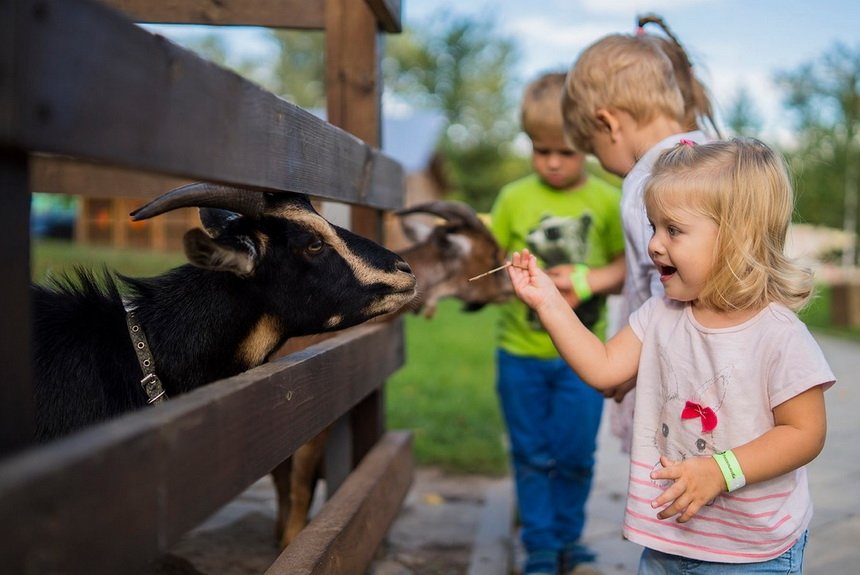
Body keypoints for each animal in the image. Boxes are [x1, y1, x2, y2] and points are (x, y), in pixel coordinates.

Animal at [270, 201, 510, 548]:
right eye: (492, 253)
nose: (509, 289)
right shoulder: (308, 416)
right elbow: (300, 481)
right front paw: (290, 541)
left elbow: (283, 478)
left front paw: (279, 535)